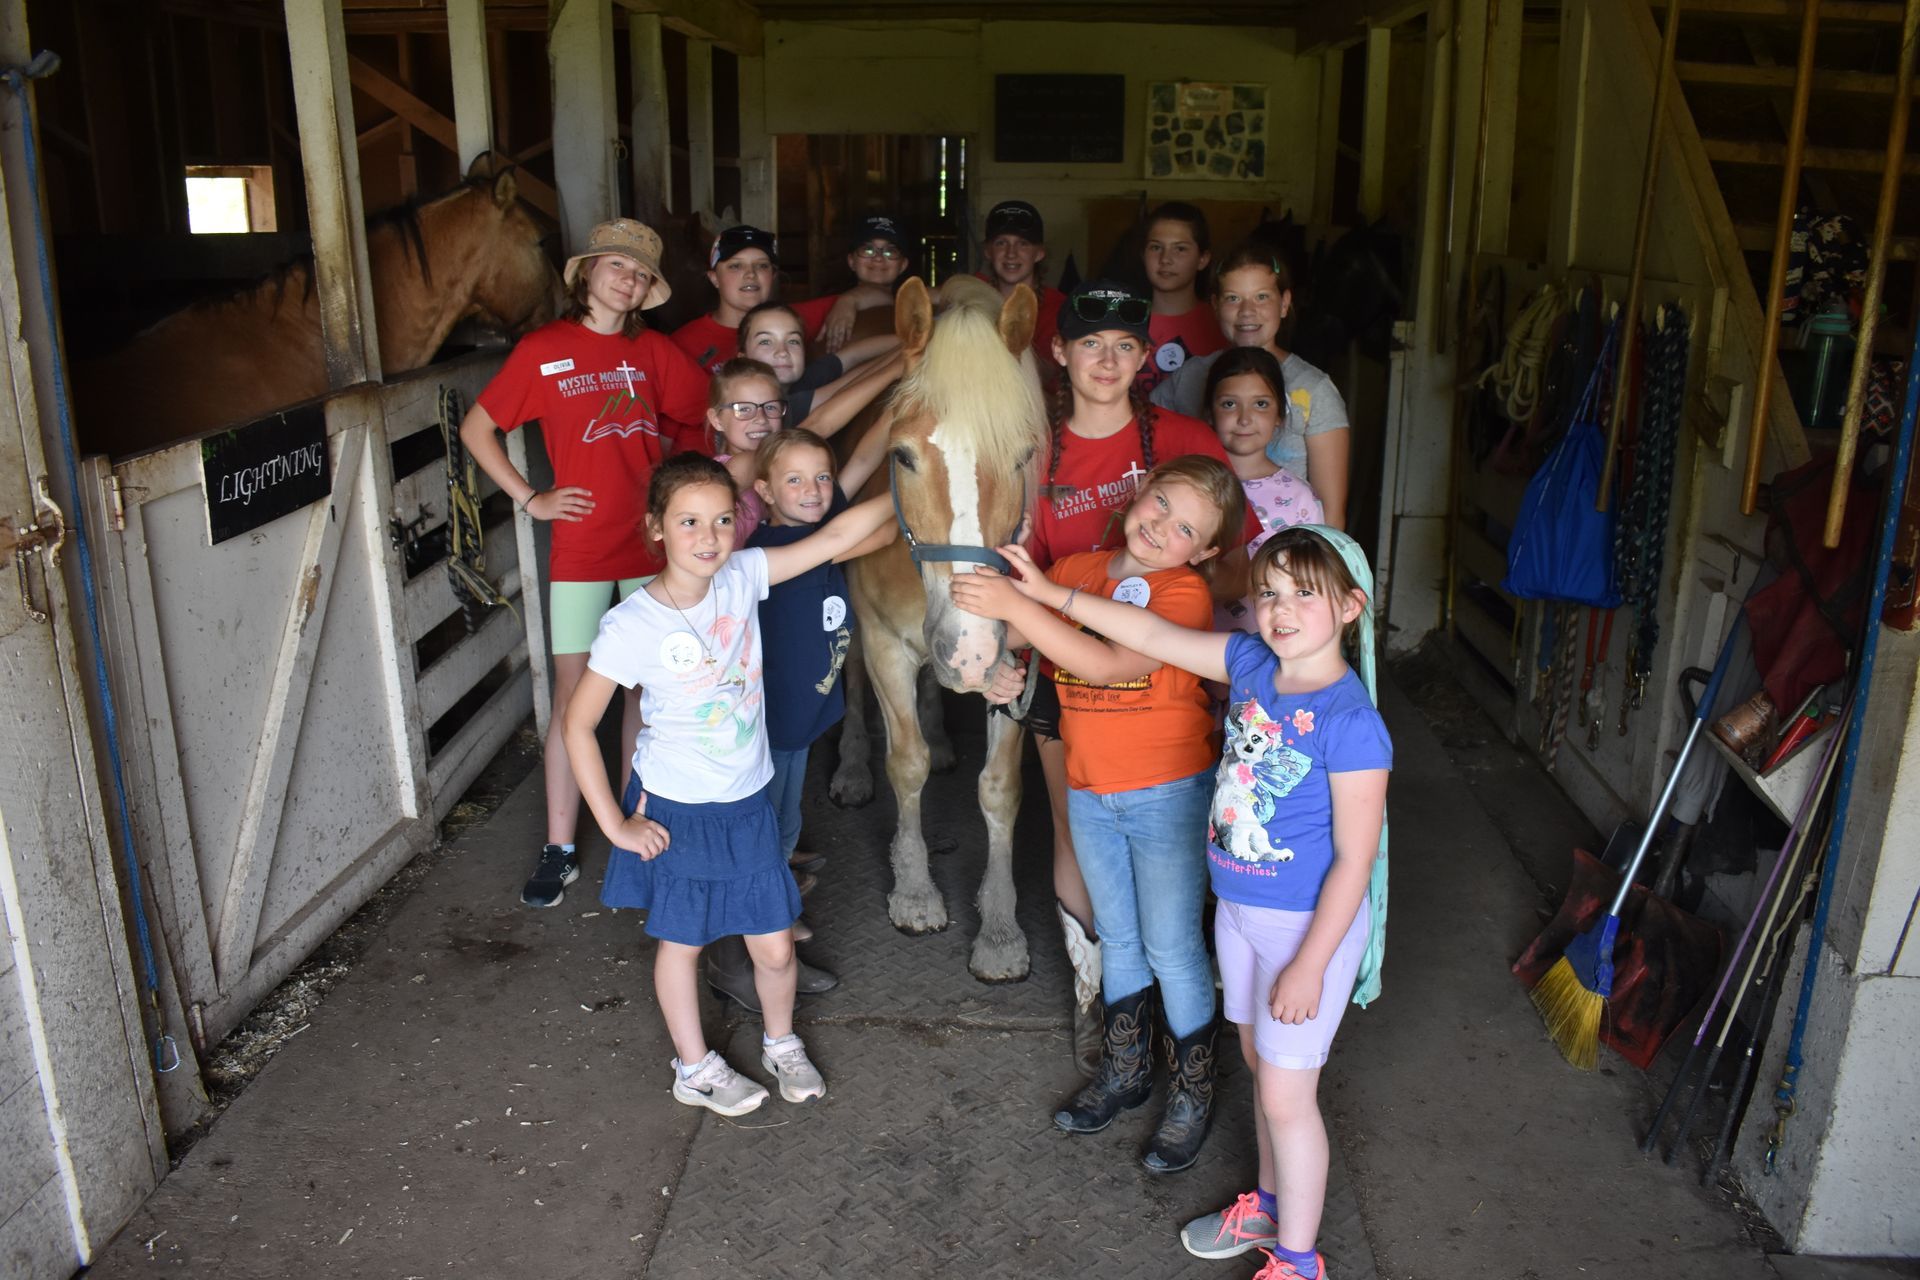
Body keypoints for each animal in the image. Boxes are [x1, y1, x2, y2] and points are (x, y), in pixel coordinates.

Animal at [848, 278, 1044, 982]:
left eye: (1024, 455)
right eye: (902, 456)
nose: (971, 654)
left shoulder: (1016, 657)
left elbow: (1001, 788)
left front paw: (1002, 930)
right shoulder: (883, 641)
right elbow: (906, 764)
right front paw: (913, 890)